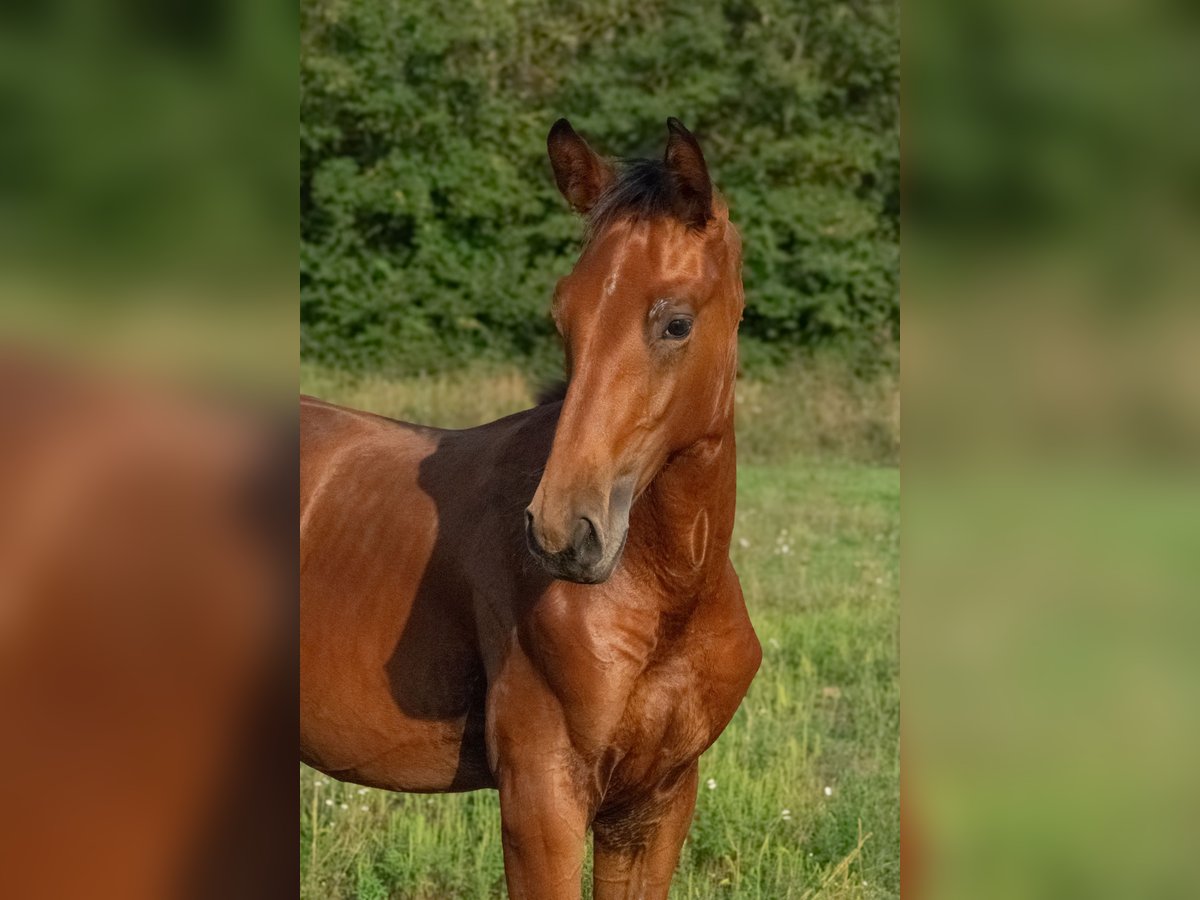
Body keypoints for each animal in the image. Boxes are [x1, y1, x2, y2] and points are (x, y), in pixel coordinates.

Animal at [304, 120, 763, 900]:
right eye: (563, 316)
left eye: (676, 324)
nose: (561, 533)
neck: (666, 597)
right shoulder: (541, 798)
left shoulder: (657, 801)